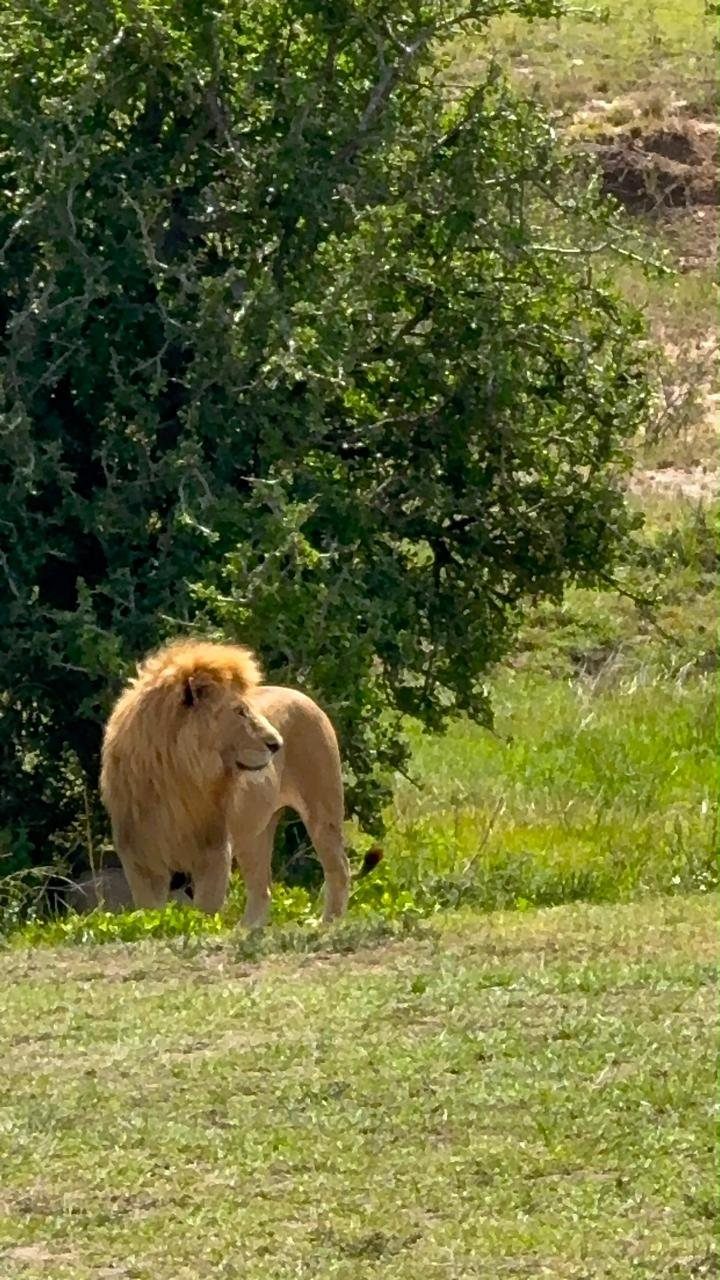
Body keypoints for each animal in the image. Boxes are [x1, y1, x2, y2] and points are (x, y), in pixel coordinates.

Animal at [100, 639, 350, 926]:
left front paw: (202, 929)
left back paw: (328, 923)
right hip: (255, 832)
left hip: (323, 809)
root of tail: (302, 695)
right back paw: (248, 929)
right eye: (240, 711)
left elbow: (205, 911)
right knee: (262, 888)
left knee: (339, 869)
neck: (178, 779)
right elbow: (150, 913)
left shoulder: (214, 852)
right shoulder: (140, 859)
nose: (278, 744)